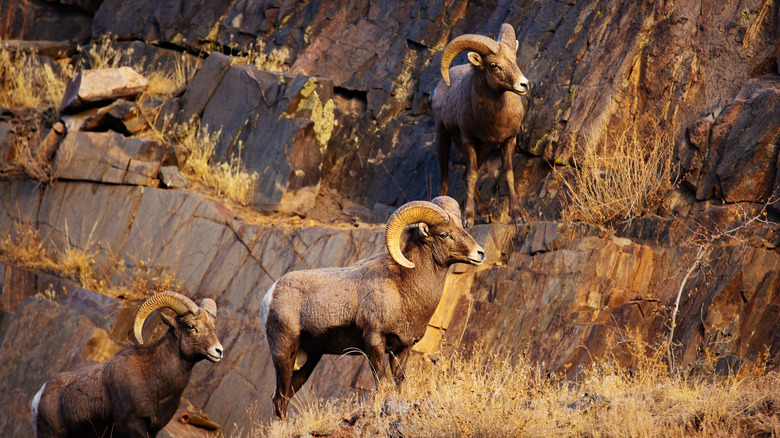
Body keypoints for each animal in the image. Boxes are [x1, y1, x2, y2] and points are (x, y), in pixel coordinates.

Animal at [31, 291, 223, 438]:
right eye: (191, 326)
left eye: (213, 328)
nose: (218, 351)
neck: (156, 382)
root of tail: (38, 398)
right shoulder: (132, 425)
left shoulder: (153, 429)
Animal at [260, 196, 485, 418]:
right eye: (444, 234)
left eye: (462, 227)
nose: (480, 253)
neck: (403, 289)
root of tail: (271, 294)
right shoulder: (374, 342)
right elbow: (381, 384)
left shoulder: (402, 348)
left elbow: (399, 383)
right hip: (284, 352)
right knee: (279, 398)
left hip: (310, 358)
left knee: (286, 395)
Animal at [432, 23, 530, 227]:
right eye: (494, 65)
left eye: (514, 60)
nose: (523, 84)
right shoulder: (468, 140)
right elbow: (471, 176)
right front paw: (468, 219)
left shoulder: (509, 140)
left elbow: (508, 175)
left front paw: (517, 217)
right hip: (443, 137)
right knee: (445, 181)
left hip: (484, 149)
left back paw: (485, 213)